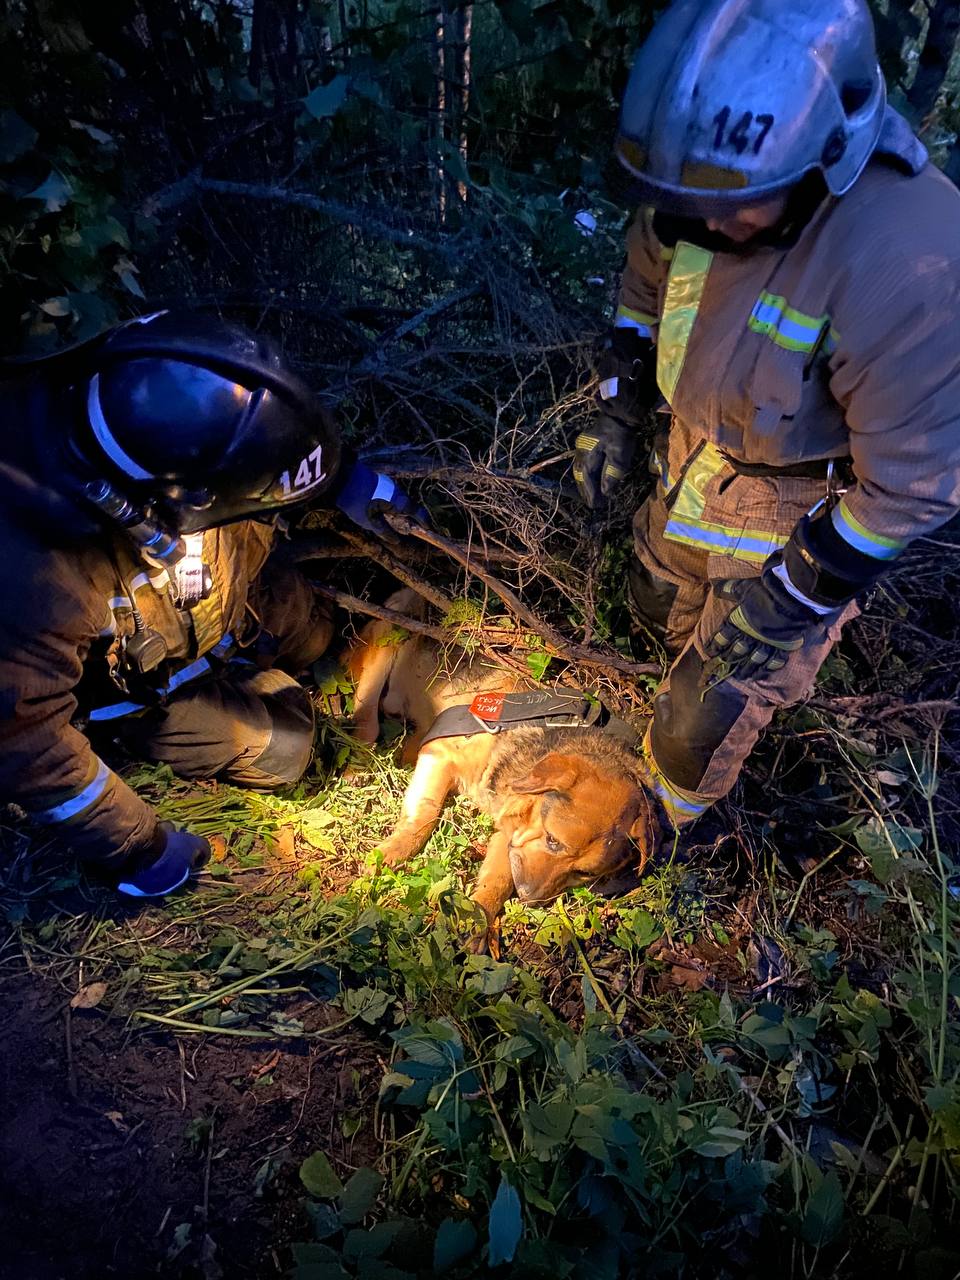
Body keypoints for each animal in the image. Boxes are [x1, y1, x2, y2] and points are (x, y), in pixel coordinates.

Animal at [345, 588, 660, 942]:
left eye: (581, 872)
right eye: (552, 840)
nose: (528, 898)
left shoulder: (511, 833)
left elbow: (496, 880)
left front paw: (480, 921)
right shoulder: (442, 755)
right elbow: (424, 815)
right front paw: (392, 851)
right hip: (391, 636)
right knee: (367, 722)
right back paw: (357, 767)